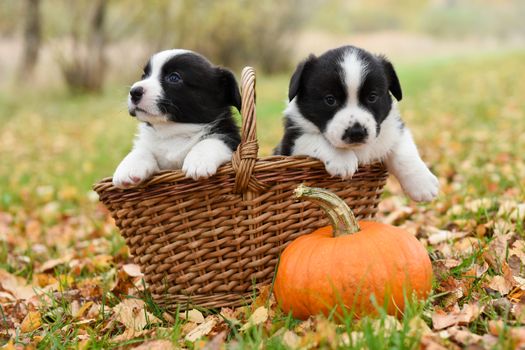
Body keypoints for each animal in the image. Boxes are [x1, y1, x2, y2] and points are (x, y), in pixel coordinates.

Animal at [113, 49, 241, 189]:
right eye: (144, 75)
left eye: (174, 77)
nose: (134, 91)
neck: (173, 130)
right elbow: (141, 150)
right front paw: (128, 168)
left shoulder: (231, 137)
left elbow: (212, 140)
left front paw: (198, 161)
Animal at [274, 45, 438, 201]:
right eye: (330, 99)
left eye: (372, 97)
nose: (356, 132)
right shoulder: (290, 141)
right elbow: (313, 137)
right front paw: (342, 159)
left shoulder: (393, 129)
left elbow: (404, 150)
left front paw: (422, 183)